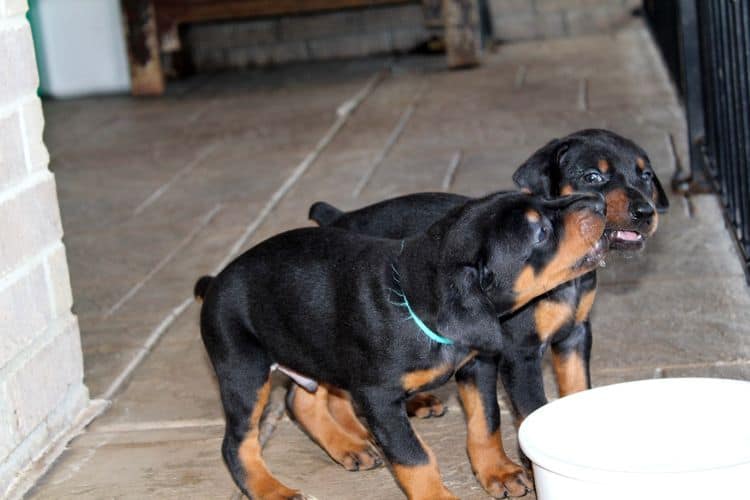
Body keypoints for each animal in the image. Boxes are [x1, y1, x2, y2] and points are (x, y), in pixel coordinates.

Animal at [197, 191, 608, 500]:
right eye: (540, 232)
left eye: (544, 199)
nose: (600, 204)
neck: (413, 300)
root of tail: (214, 281)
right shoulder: (378, 397)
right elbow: (415, 457)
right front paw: (440, 497)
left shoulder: (476, 366)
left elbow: (485, 421)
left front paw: (497, 472)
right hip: (243, 369)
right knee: (237, 443)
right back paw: (273, 490)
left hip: (315, 348)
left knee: (302, 400)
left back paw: (351, 446)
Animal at [290, 128, 668, 496]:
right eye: (592, 176)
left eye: (646, 176)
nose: (646, 212)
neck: (567, 284)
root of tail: (340, 217)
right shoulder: (519, 354)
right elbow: (524, 408)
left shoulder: (575, 334)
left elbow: (575, 389)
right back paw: (349, 443)